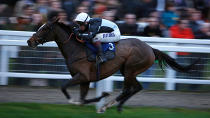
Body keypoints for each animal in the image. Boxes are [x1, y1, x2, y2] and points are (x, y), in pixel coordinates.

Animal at [27, 18, 198, 113]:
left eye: (45, 28)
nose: (30, 41)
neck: (76, 49)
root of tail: (150, 48)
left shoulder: (82, 76)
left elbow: (64, 87)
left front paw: (81, 100)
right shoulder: (85, 80)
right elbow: (82, 99)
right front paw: (96, 98)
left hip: (130, 69)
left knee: (127, 89)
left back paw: (106, 106)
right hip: (128, 71)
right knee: (137, 87)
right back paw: (117, 106)